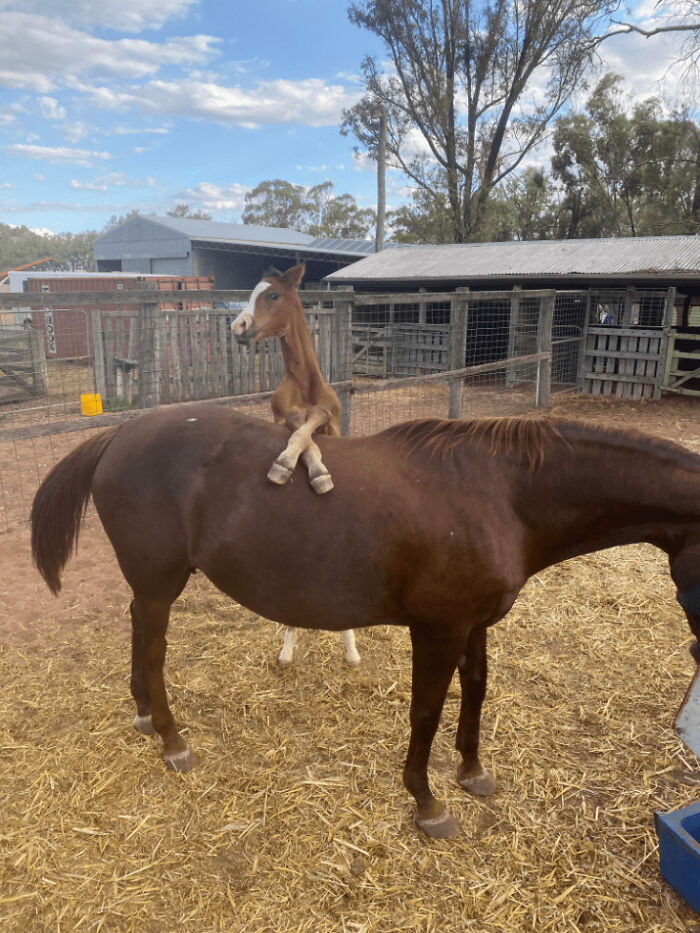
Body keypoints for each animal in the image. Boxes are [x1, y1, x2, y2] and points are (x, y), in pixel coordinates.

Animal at [232, 262, 360, 668]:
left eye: (272, 294)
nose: (238, 327)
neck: (305, 384)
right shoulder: (281, 418)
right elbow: (299, 428)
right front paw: (288, 466)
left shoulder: (333, 423)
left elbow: (315, 419)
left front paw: (317, 474)